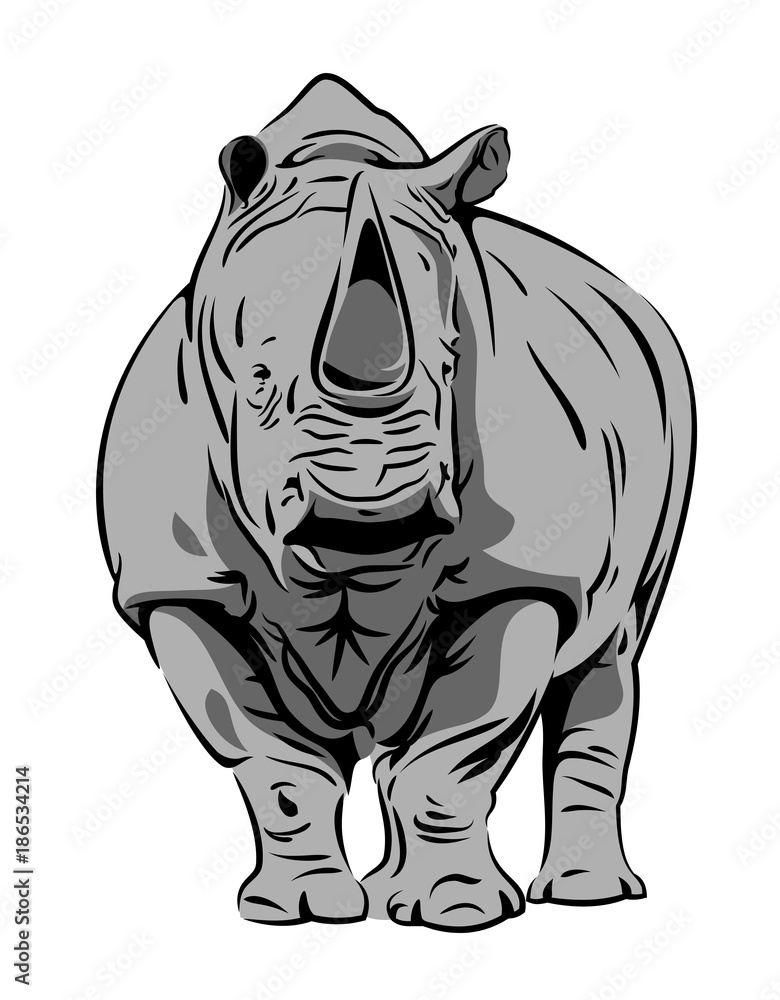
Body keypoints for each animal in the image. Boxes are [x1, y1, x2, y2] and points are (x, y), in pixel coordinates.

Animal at [98, 75, 695, 931]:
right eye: (256, 383)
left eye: (451, 368)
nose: (369, 522)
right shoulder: (179, 587)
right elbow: (275, 763)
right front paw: (299, 911)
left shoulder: (519, 573)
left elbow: (452, 755)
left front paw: (460, 913)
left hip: (669, 407)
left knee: (612, 643)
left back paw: (587, 897)